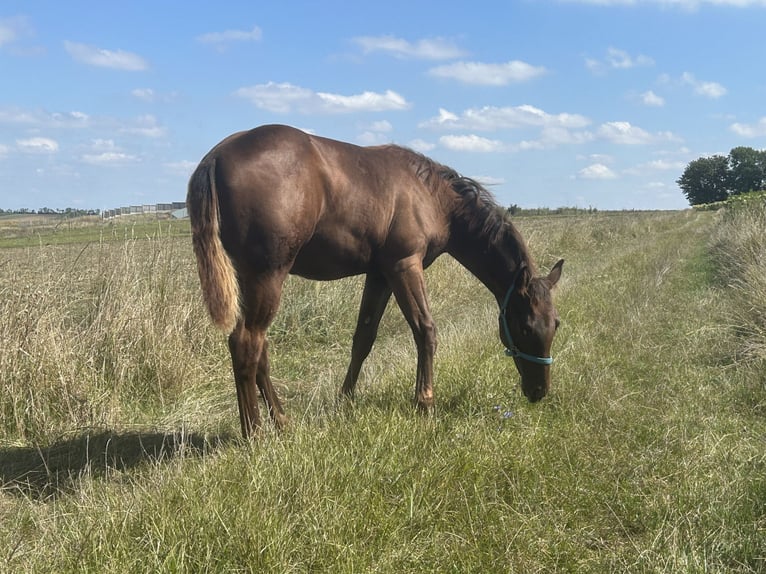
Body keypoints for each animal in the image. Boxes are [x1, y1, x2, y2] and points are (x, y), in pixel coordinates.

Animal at [187, 124, 564, 438]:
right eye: (525, 326)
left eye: (556, 324)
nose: (538, 391)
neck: (433, 196)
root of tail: (215, 157)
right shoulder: (404, 266)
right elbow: (425, 330)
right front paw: (424, 401)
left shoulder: (379, 275)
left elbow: (363, 338)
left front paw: (345, 399)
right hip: (268, 275)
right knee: (246, 343)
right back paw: (254, 433)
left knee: (259, 346)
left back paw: (281, 420)